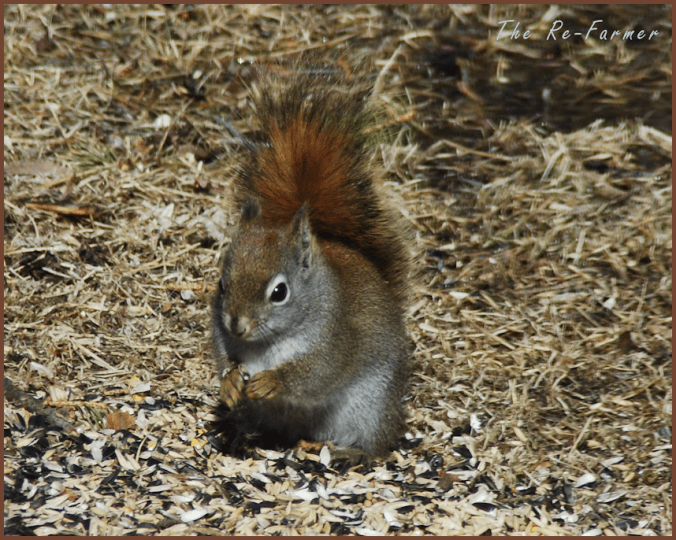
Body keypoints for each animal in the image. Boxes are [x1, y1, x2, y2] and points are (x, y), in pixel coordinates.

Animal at [211, 68, 410, 459]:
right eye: (223, 285)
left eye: (279, 292)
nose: (237, 326)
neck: (266, 343)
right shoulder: (223, 336)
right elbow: (226, 360)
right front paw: (230, 382)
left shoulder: (337, 339)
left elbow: (317, 373)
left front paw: (273, 381)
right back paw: (247, 436)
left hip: (371, 408)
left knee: (375, 446)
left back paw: (350, 453)